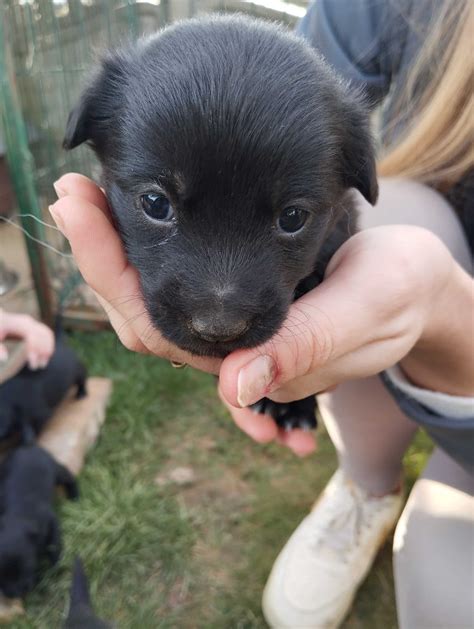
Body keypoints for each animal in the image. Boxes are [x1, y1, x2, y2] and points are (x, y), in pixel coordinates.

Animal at [0, 444, 78, 596]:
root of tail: (28, 445)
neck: (17, 517)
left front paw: (55, 567)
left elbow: (54, 546)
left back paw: (75, 495)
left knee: (68, 476)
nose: (14, 594)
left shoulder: (51, 523)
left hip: (56, 470)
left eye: (26, 568)